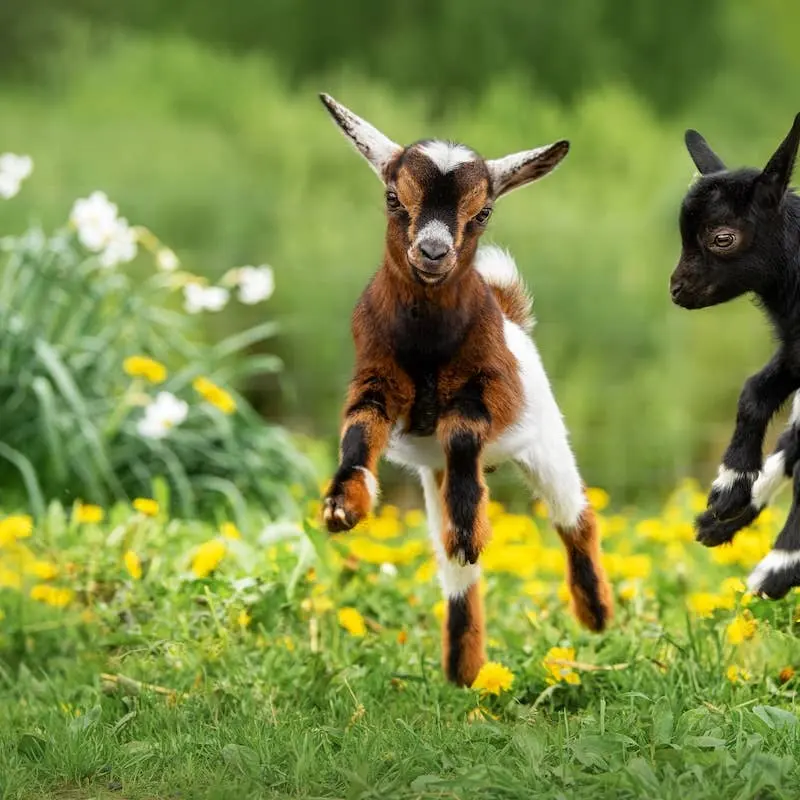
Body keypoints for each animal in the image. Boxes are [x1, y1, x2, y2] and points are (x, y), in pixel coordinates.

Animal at [318, 93, 613, 686]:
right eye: (393, 197)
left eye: (483, 212)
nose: (433, 252)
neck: (429, 341)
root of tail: (511, 313)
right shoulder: (377, 378)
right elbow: (358, 431)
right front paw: (343, 506)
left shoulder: (491, 388)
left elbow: (461, 428)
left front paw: (471, 529)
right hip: (431, 479)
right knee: (456, 575)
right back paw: (464, 668)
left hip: (547, 443)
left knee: (576, 517)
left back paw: (595, 614)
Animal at [670, 112, 800, 598]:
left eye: (722, 237)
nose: (677, 289)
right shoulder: (794, 351)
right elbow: (753, 393)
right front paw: (729, 488)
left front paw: (780, 567)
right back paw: (719, 521)